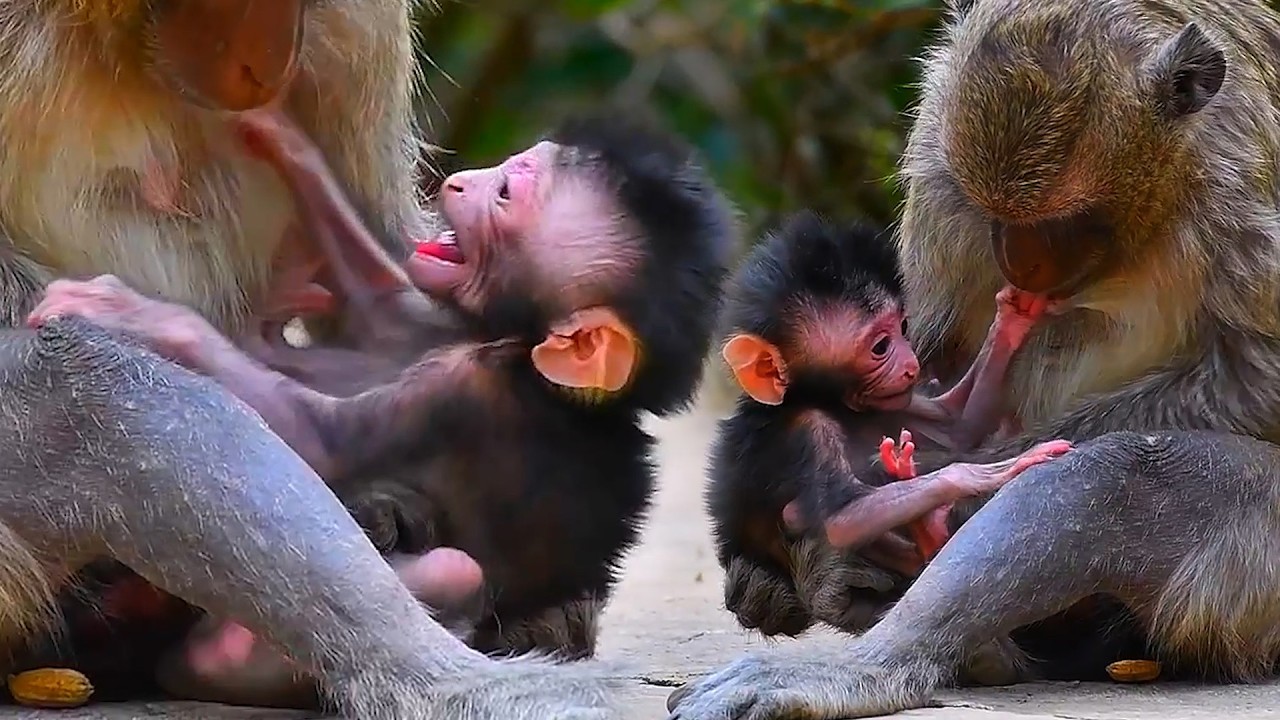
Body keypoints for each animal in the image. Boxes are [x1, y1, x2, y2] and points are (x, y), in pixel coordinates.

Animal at [666, 1, 1280, 718]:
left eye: (1068, 221)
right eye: (996, 213)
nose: (1019, 266)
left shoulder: (1239, 199)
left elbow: (1257, 381)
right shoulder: (939, 169)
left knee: (1121, 471)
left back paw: (874, 653)